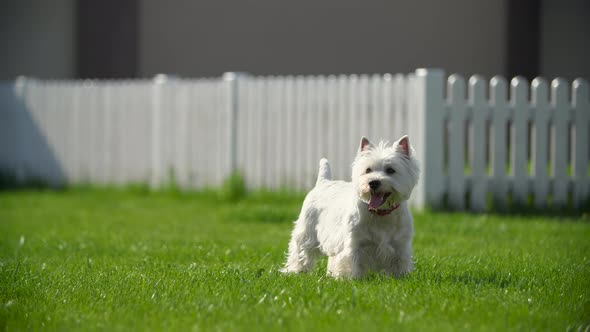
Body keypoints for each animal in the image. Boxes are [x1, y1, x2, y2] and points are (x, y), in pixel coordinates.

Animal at [282, 136, 420, 278]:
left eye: (391, 170)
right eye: (368, 170)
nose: (373, 182)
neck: (380, 213)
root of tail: (323, 182)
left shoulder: (400, 245)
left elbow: (399, 264)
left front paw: (398, 278)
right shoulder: (354, 243)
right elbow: (351, 262)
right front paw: (352, 278)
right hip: (306, 230)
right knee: (301, 251)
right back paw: (295, 272)